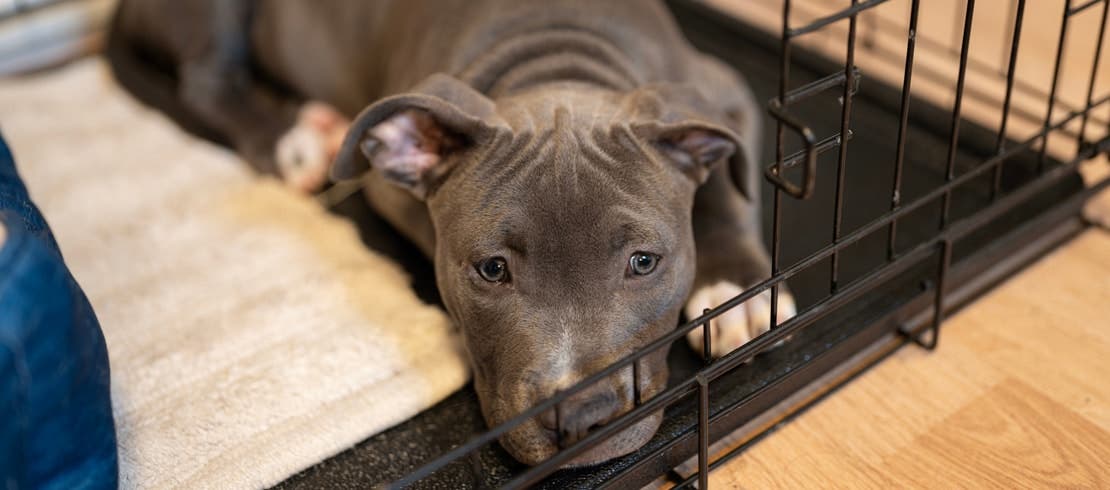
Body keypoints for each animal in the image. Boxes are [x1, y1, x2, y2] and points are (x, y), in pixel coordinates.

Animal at [108, 0, 794, 464]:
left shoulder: (722, 93)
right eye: (492, 269)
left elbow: (728, 189)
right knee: (206, 79)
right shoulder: (390, 183)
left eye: (644, 262)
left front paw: (739, 291)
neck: (555, 53)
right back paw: (292, 142)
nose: (578, 417)